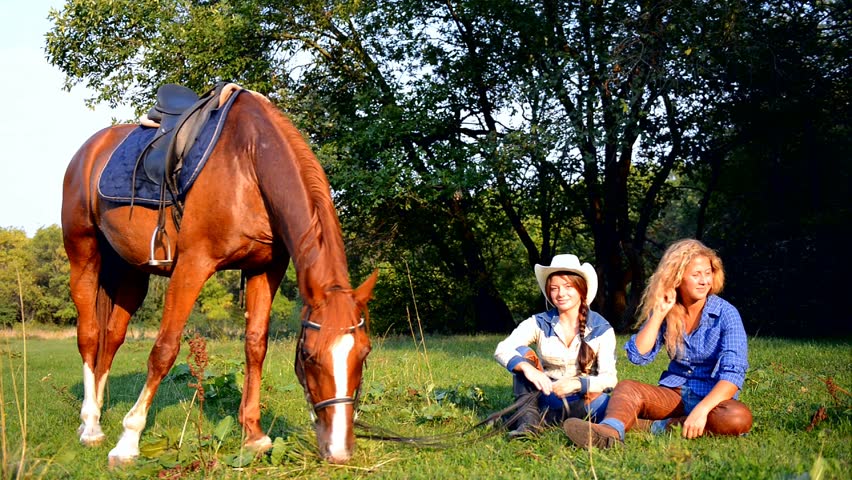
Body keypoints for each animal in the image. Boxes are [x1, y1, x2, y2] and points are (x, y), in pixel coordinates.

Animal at [61, 86, 377, 465]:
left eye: (365, 353)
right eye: (308, 356)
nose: (339, 449)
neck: (249, 165)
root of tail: (89, 150)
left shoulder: (265, 269)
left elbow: (255, 345)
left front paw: (253, 434)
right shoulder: (193, 264)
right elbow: (164, 349)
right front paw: (129, 441)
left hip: (132, 273)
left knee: (112, 337)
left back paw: (95, 411)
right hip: (84, 256)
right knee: (89, 335)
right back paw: (91, 425)